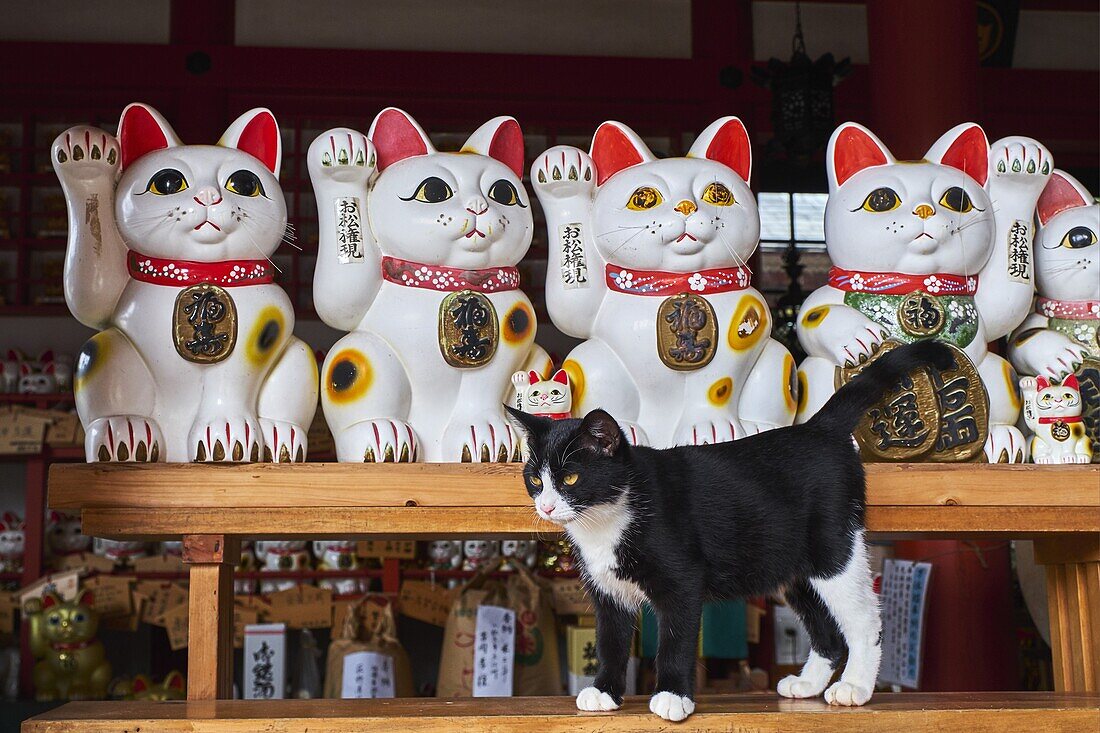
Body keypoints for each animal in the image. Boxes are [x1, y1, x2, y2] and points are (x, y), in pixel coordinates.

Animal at [506, 338, 954, 721]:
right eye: (535, 479)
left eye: (571, 479)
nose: (546, 505)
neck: (605, 521)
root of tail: (817, 428)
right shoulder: (607, 590)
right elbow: (610, 640)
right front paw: (604, 692)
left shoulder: (683, 580)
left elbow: (676, 640)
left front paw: (673, 698)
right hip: (789, 565)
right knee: (826, 629)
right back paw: (808, 684)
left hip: (833, 549)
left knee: (863, 620)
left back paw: (855, 687)